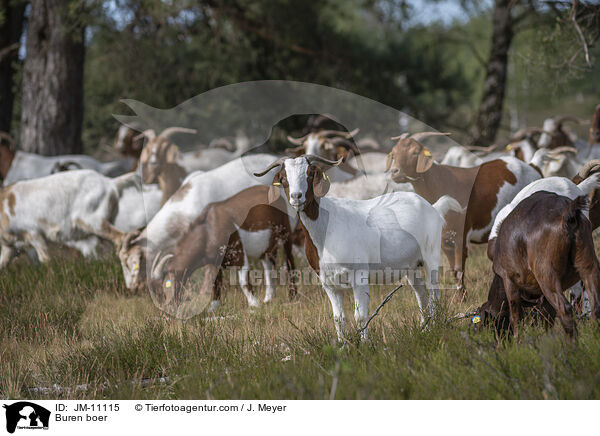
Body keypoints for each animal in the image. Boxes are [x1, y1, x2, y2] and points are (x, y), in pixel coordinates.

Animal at [145, 184, 296, 310]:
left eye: (165, 286)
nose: (166, 309)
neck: (208, 229)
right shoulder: (214, 261)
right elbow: (215, 283)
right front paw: (213, 306)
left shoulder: (238, 252)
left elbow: (243, 280)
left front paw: (254, 304)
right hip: (267, 245)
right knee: (268, 264)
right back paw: (269, 298)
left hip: (286, 231)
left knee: (290, 261)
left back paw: (292, 297)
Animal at [252, 155, 460, 342]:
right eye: (283, 178)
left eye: (310, 174)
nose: (297, 197)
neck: (326, 228)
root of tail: (433, 207)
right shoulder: (328, 283)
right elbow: (338, 319)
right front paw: (343, 347)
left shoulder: (359, 275)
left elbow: (360, 315)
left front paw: (366, 345)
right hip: (410, 265)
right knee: (421, 293)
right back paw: (425, 328)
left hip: (431, 254)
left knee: (434, 293)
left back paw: (435, 327)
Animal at [386, 131, 540, 298]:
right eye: (394, 153)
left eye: (414, 152)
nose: (395, 172)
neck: (439, 184)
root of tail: (532, 166)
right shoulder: (444, 239)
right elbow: (453, 269)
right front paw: (461, 298)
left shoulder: (461, 235)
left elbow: (459, 268)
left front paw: (462, 299)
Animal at [482, 190, 600, 338]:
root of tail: (567, 214)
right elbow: (547, 318)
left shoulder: (509, 280)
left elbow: (516, 317)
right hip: (587, 263)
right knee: (595, 305)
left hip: (546, 275)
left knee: (565, 309)